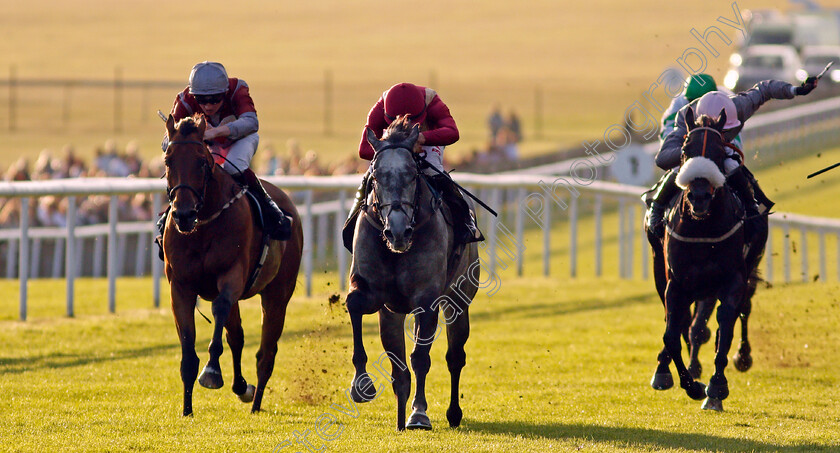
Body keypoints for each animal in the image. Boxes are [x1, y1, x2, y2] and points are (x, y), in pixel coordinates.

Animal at [162, 115, 304, 414]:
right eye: (168, 160)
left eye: (201, 162)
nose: (183, 214)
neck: (203, 225)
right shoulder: (180, 285)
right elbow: (189, 350)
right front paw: (187, 410)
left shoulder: (231, 275)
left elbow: (220, 309)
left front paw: (212, 372)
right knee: (237, 336)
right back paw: (242, 387)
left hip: (278, 293)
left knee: (266, 353)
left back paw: (256, 403)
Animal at [344, 115, 480, 430]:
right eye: (376, 176)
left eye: (412, 175)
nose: (397, 232)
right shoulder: (376, 295)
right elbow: (353, 304)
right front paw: (361, 384)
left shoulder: (426, 300)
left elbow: (421, 358)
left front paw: (418, 414)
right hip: (392, 313)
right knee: (399, 366)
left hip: (459, 298)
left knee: (454, 356)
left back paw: (452, 413)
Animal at [648, 108, 768, 410]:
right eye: (685, 151)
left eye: (718, 152)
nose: (699, 196)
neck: (702, 229)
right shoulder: (676, 283)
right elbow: (671, 333)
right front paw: (689, 384)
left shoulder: (732, 280)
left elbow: (725, 324)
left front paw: (716, 387)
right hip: (661, 271)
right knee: (681, 322)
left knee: (742, 310)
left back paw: (742, 356)